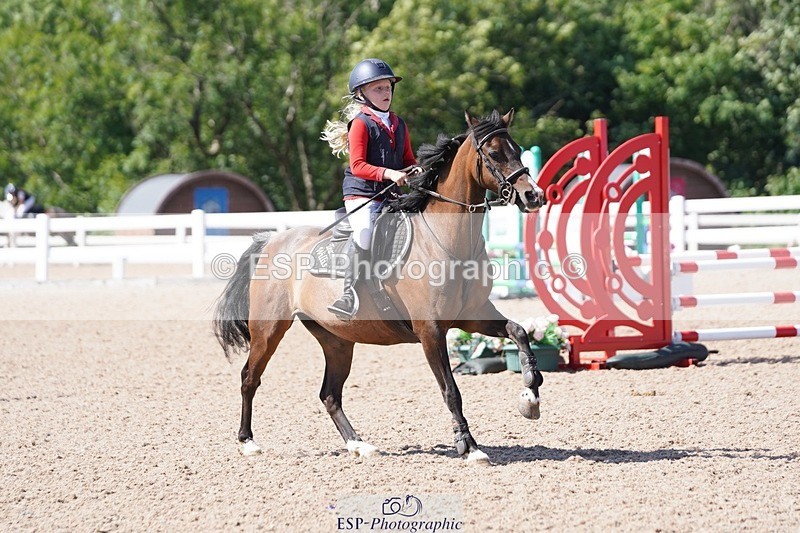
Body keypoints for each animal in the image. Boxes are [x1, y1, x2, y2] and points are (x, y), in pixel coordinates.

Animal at [214, 109, 546, 463]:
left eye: (518, 150)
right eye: (495, 154)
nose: (534, 196)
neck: (446, 240)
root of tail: (272, 240)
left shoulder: (472, 316)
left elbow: (519, 332)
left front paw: (530, 395)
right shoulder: (430, 331)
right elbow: (450, 391)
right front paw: (468, 446)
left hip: (336, 339)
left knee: (329, 394)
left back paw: (359, 445)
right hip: (269, 329)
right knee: (250, 378)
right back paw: (248, 441)